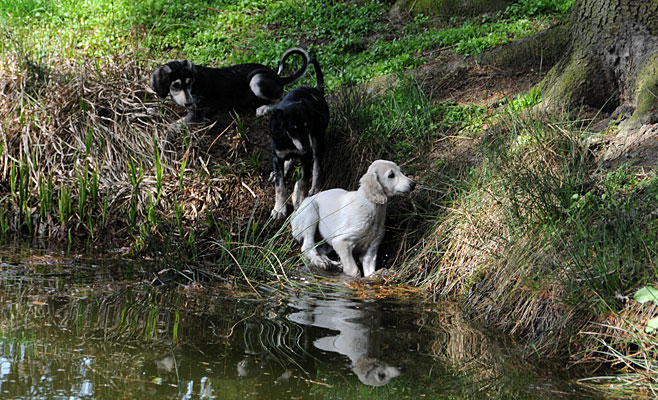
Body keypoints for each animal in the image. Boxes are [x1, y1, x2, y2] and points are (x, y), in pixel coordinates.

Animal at [151, 47, 310, 122]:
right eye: (176, 86)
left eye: (189, 83)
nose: (189, 103)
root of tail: (278, 77)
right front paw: (151, 110)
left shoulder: (197, 115)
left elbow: (171, 128)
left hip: (256, 80)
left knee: (281, 97)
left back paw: (264, 108)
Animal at [268, 56, 326, 220]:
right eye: (293, 128)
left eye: (308, 125)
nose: (306, 147)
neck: (289, 141)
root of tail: (317, 89)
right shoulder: (277, 156)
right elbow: (280, 185)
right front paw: (279, 209)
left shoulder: (306, 156)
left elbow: (302, 182)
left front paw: (299, 202)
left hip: (318, 139)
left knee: (317, 164)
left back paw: (315, 187)